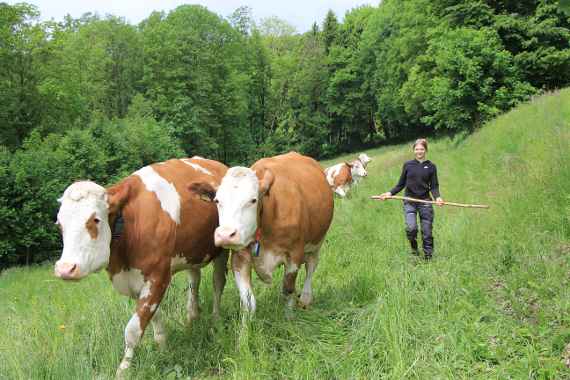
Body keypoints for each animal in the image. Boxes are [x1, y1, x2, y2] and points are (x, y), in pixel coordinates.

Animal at [53, 157, 226, 378]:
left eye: (95, 219)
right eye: (59, 224)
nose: (65, 269)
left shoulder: (158, 276)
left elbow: (133, 330)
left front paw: (123, 370)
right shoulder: (135, 282)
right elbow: (155, 316)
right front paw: (162, 347)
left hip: (222, 250)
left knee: (218, 283)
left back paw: (216, 319)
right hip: (191, 252)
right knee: (194, 280)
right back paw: (192, 317)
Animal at [189, 151, 330, 312]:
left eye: (253, 200)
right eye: (217, 201)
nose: (225, 235)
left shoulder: (294, 254)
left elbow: (288, 290)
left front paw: (289, 315)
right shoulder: (239, 258)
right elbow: (248, 301)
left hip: (317, 243)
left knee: (311, 266)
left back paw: (306, 297)